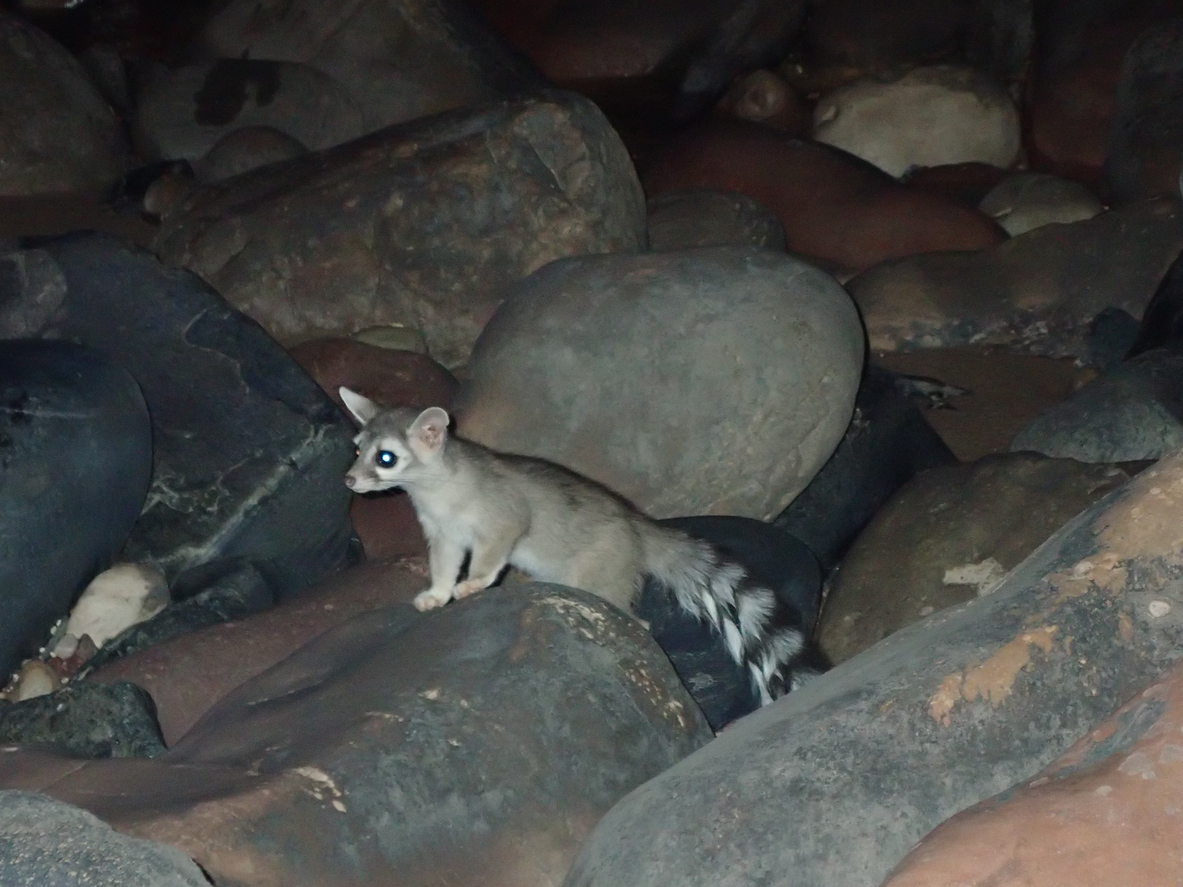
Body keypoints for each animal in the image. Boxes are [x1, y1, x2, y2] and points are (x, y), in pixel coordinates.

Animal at [338, 387, 809, 709]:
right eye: (357, 448)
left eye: (386, 458)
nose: (348, 480)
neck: (434, 488)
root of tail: (640, 527)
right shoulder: (443, 533)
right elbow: (443, 564)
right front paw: (437, 594)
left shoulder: (501, 517)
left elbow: (491, 555)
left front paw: (473, 584)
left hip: (601, 574)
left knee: (633, 617)